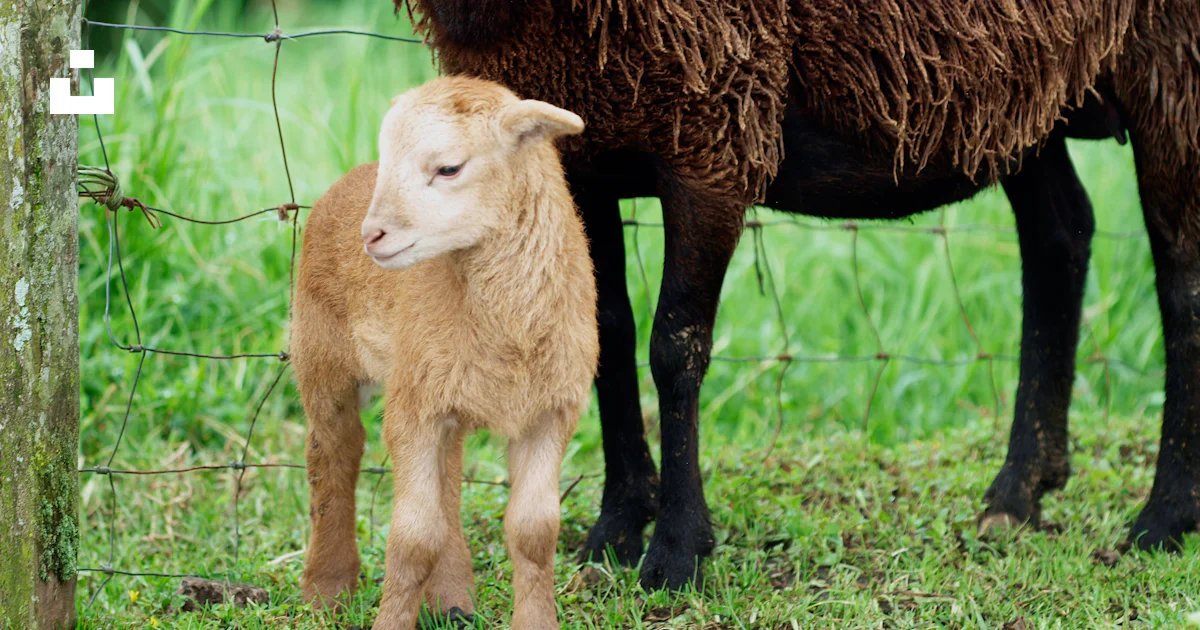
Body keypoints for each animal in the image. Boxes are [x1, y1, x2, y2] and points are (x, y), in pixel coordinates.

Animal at [290, 76, 598, 630]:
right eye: (389, 159)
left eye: (449, 168)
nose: (372, 235)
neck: (510, 330)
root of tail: (343, 186)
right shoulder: (411, 411)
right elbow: (413, 539)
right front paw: (390, 621)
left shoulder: (550, 411)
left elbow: (535, 532)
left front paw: (536, 620)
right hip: (322, 353)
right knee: (334, 454)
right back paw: (327, 589)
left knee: (448, 478)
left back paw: (451, 597)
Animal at [399, 0, 1200, 590]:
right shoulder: (576, 149)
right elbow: (607, 335)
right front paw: (615, 528)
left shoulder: (713, 131)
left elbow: (674, 348)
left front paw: (676, 553)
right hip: (1028, 91)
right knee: (1061, 234)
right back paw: (1018, 493)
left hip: (1170, 64)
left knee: (1179, 281)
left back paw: (1164, 518)